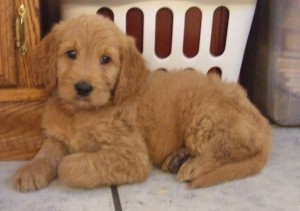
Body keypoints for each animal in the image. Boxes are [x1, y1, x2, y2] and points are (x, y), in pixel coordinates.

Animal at [12, 15, 272, 192]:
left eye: (105, 59)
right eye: (71, 54)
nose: (83, 88)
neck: (80, 113)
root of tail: (264, 124)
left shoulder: (132, 156)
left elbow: (68, 166)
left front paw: (68, 161)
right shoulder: (58, 135)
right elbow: (48, 150)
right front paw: (30, 170)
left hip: (203, 119)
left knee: (231, 151)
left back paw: (194, 166)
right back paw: (178, 158)